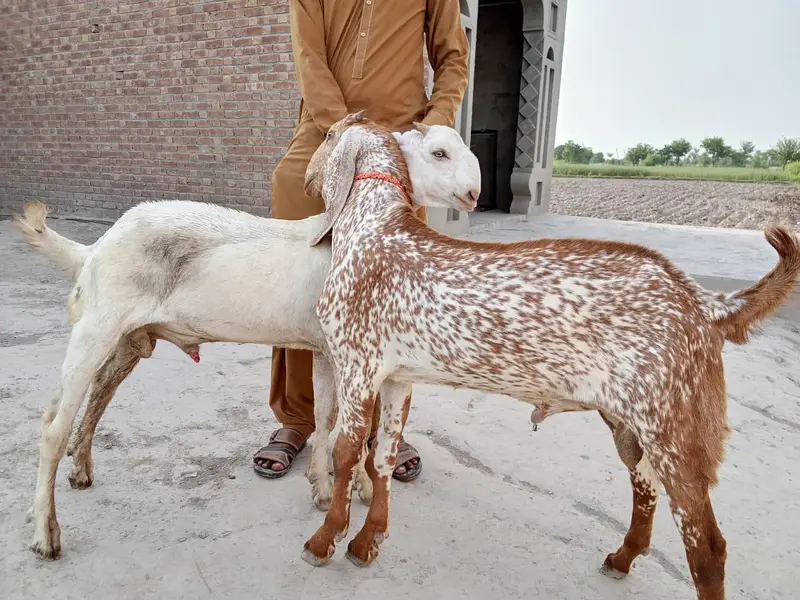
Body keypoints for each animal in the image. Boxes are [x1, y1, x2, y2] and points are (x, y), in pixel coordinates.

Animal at [13, 123, 481, 561]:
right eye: (439, 152)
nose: (474, 194)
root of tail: (94, 249)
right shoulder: (350, 351)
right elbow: (351, 424)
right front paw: (352, 488)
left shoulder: (327, 350)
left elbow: (327, 416)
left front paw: (324, 485)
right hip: (97, 326)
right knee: (53, 427)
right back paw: (45, 533)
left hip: (128, 338)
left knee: (97, 394)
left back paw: (80, 470)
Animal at [299, 112, 800, 600]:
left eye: (326, 135)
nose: (304, 178)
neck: (375, 225)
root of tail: (705, 303)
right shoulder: (397, 378)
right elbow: (381, 456)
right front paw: (367, 543)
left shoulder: (356, 366)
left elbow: (347, 451)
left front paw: (324, 541)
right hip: (630, 424)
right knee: (644, 486)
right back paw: (622, 558)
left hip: (675, 430)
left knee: (707, 546)